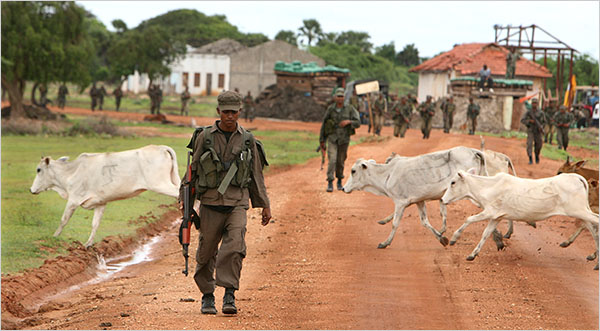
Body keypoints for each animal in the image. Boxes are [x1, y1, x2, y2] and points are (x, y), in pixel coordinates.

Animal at [30, 144, 180, 248]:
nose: (31, 190)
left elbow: (63, 220)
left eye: (39, 169)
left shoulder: (73, 200)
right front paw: (88, 244)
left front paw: (54, 236)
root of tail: (161, 147)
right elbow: (95, 224)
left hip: (160, 184)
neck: (71, 172)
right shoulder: (100, 203)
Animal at [342, 147, 492, 250]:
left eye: (353, 171)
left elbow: (395, 223)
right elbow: (425, 222)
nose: (343, 188)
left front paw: (385, 242)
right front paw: (441, 238)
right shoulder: (419, 201)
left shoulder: (400, 202)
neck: (388, 173)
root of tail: (473, 151)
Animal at [440, 171, 600, 270]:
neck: (488, 187)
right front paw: (472, 254)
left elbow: (469, 219)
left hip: (579, 211)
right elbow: (485, 234)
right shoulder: (496, 217)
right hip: (580, 212)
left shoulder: (489, 212)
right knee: (592, 229)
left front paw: (453, 239)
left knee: (596, 223)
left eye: (453, 182)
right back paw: (592, 257)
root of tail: (576, 177)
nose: (442, 199)